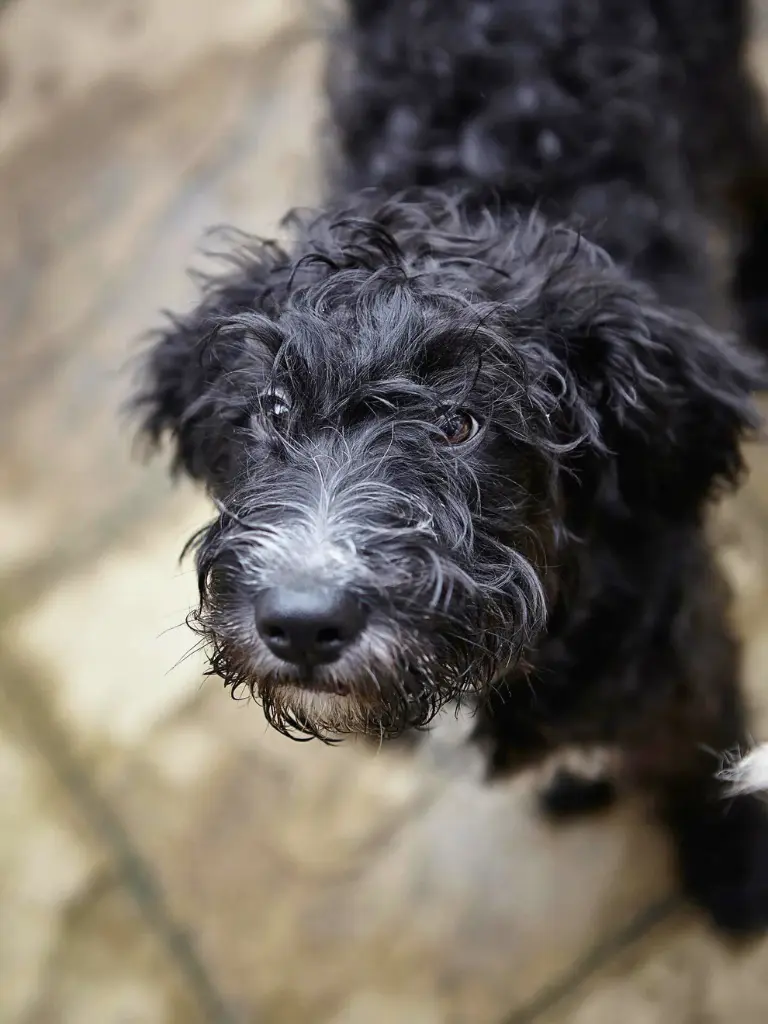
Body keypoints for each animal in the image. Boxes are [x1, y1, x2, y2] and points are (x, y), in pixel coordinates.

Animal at [135, 0, 768, 937]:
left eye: (461, 425)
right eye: (274, 410)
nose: (302, 624)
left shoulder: (673, 645)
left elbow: (700, 747)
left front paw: (733, 865)